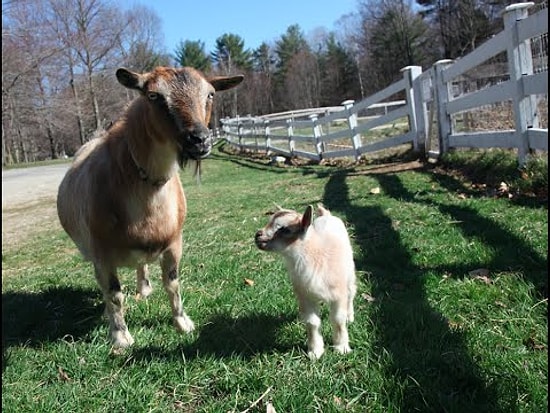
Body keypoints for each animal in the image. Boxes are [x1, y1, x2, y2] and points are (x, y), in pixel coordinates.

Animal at [57, 65, 244, 348]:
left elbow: (173, 284)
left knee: (141, 265)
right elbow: (114, 294)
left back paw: (144, 288)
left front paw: (183, 323)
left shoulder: (175, 242)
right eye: (154, 96)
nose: (199, 140)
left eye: (210, 94)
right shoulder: (101, 254)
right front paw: (121, 337)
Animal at [256, 204, 358, 358]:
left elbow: (338, 319)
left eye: (285, 229)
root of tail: (326, 215)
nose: (258, 235)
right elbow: (312, 322)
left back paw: (349, 316)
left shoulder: (338, 295)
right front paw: (315, 351)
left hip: (350, 272)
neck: (316, 256)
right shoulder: (305, 296)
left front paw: (342, 347)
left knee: (351, 293)